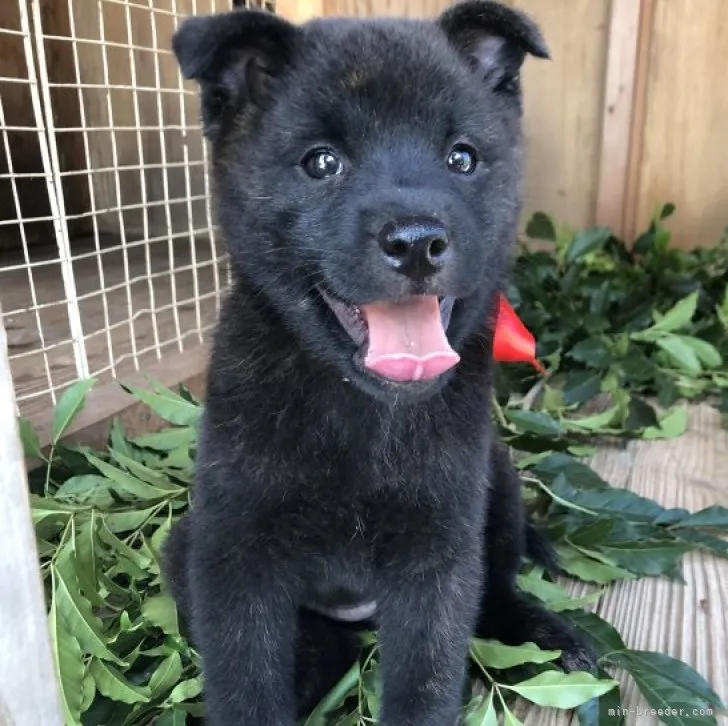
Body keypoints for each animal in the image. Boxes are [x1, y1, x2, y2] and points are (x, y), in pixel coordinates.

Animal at [165, 2, 596, 724]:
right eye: (321, 162)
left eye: (461, 157)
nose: (418, 242)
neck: (360, 410)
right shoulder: (235, 556)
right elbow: (246, 681)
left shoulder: (438, 558)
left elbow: (427, 680)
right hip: (186, 545)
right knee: (322, 645)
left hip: (498, 484)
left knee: (497, 589)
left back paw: (545, 631)